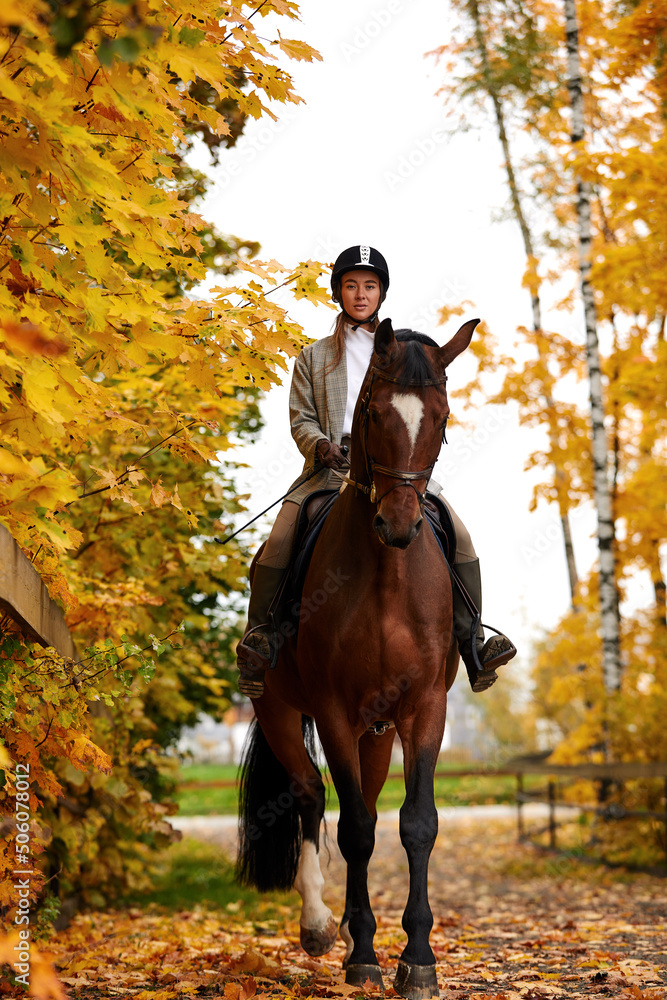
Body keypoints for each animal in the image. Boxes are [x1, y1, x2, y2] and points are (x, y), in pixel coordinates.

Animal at [237, 317, 479, 1000]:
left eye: (442, 418)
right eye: (371, 412)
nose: (398, 524)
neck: (385, 578)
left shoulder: (425, 709)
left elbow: (414, 824)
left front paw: (417, 959)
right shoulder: (333, 712)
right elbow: (353, 830)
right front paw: (366, 956)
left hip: (379, 729)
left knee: (366, 802)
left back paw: (347, 924)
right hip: (281, 712)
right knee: (312, 798)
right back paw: (322, 926)